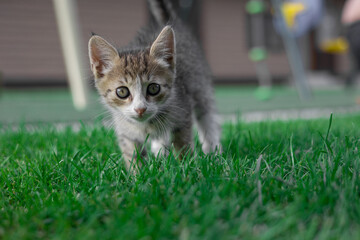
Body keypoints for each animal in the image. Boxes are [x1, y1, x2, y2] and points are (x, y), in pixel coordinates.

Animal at [88, 0, 221, 171]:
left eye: (153, 88)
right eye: (122, 92)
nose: (140, 109)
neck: (146, 124)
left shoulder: (183, 114)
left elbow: (182, 144)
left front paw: (185, 167)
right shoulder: (125, 131)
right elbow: (132, 154)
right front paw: (137, 175)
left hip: (200, 85)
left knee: (207, 117)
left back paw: (213, 152)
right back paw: (160, 151)